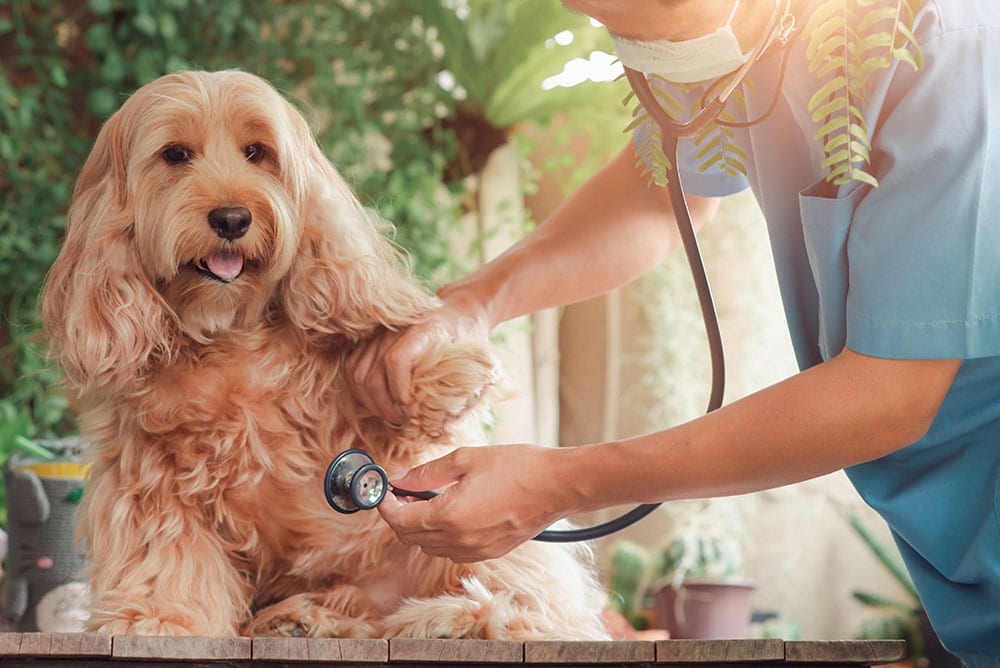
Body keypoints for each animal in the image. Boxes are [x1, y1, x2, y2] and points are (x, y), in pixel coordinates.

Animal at [41, 70, 608, 640]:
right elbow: (164, 561)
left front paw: (440, 372)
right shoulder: (149, 482)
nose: (231, 217)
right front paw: (153, 621)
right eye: (175, 154)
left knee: (540, 606)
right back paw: (302, 620)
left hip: (482, 555)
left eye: (257, 152)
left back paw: (466, 619)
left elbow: (401, 404)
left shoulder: (374, 421)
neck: (230, 336)